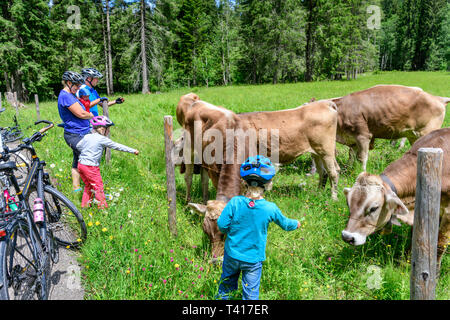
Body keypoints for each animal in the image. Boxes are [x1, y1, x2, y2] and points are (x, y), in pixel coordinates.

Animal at [183, 96, 342, 258]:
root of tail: (325, 102)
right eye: (206, 232)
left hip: (326, 150)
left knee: (333, 172)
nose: (215, 260)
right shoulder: (215, 171)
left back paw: (333, 197)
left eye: (227, 232)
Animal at [342, 127, 448, 272]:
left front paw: (435, 272)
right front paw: (406, 262)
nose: (347, 237)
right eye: (348, 204)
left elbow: (441, 243)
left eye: (374, 208)